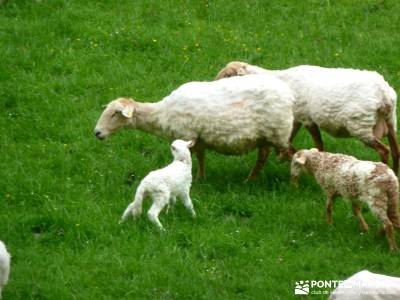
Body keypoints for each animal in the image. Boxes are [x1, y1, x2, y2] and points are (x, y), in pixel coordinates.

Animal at [93, 74, 294, 179]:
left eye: (115, 113)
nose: (97, 132)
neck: (162, 114)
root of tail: (288, 94)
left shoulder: (187, 135)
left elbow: (192, 158)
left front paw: (195, 179)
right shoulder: (199, 139)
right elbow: (201, 157)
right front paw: (201, 178)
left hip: (277, 132)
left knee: (289, 152)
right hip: (266, 136)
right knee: (264, 156)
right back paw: (251, 179)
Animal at [217, 61, 398, 173]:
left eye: (227, 76)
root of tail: (383, 93)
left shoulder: (306, 118)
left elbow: (319, 144)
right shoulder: (296, 118)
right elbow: (290, 137)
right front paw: (282, 157)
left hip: (360, 125)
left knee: (384, 150)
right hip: (390, 122)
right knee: (396, 151)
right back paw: (394, 175)